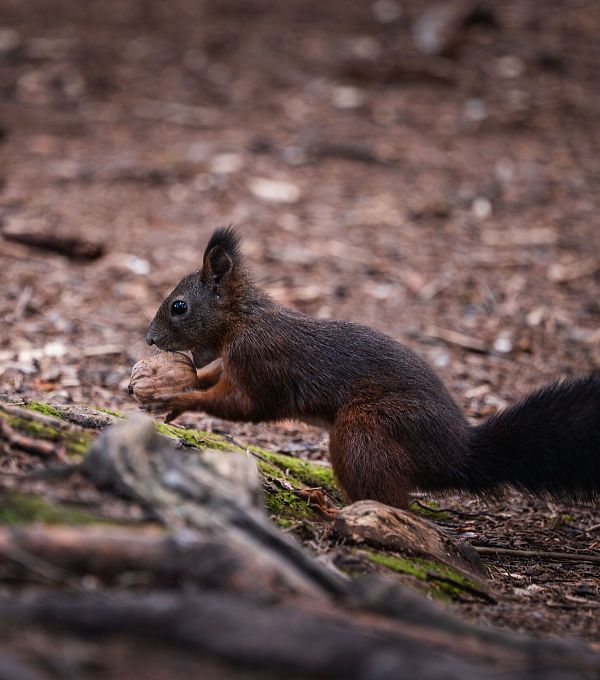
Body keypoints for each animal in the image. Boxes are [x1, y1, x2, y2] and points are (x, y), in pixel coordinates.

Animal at [145, 227, 600, 509]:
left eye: (179, 307)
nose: (149, 340)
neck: (243, 320)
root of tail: (458, 452)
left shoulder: (262, 364)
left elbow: (243, 406)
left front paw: (176, 396)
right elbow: (216, 378)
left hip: (366, 430)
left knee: (394, 501)